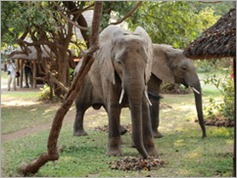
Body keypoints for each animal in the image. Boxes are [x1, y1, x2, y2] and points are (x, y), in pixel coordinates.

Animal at [73, 43, 206, 139]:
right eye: (183, 68)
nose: (203, 136)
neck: (165, 49)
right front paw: (155, 136)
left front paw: (156, 136)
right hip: (83, 82)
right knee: (81, 107)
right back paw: (80, 134)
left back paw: (122, 132)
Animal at [77, 25, 158, 159]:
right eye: (119, 62)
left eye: (146, 62)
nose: (144, 157)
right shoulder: (108, 71)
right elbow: (114, 106)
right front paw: (114, 154)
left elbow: (143, 105)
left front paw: (153, 154)